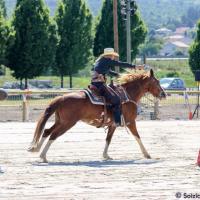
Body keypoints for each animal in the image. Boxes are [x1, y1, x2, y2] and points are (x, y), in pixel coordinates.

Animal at [27, 69, 166, 162]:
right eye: (156, 81)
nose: (164, 94)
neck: (128, 94)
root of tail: (61, 98)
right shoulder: (131, 122)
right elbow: (137, 137)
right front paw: (147, 154)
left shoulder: (113, 124)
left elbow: (108, 139)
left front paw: (106, 156)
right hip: (68, 123)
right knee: (53, 135)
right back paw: (43, 156)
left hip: (60, 121)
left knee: (46, 131)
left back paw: (36, 150)